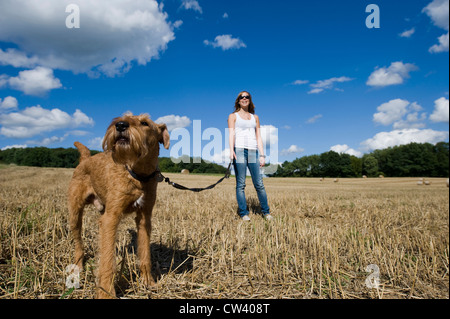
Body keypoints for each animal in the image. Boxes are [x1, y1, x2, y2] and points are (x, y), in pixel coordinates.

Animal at [67, 113, 170, 300]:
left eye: (145, 123)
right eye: (125, 116)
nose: (120, 125)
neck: (137, 175)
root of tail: (85, 159)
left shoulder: (144, 218)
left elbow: (145, 253)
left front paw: (149, 282)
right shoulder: (111, 218)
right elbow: (108, 262)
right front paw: (106, 293)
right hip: (75, 212)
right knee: (78, 241)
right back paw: (78, 265)